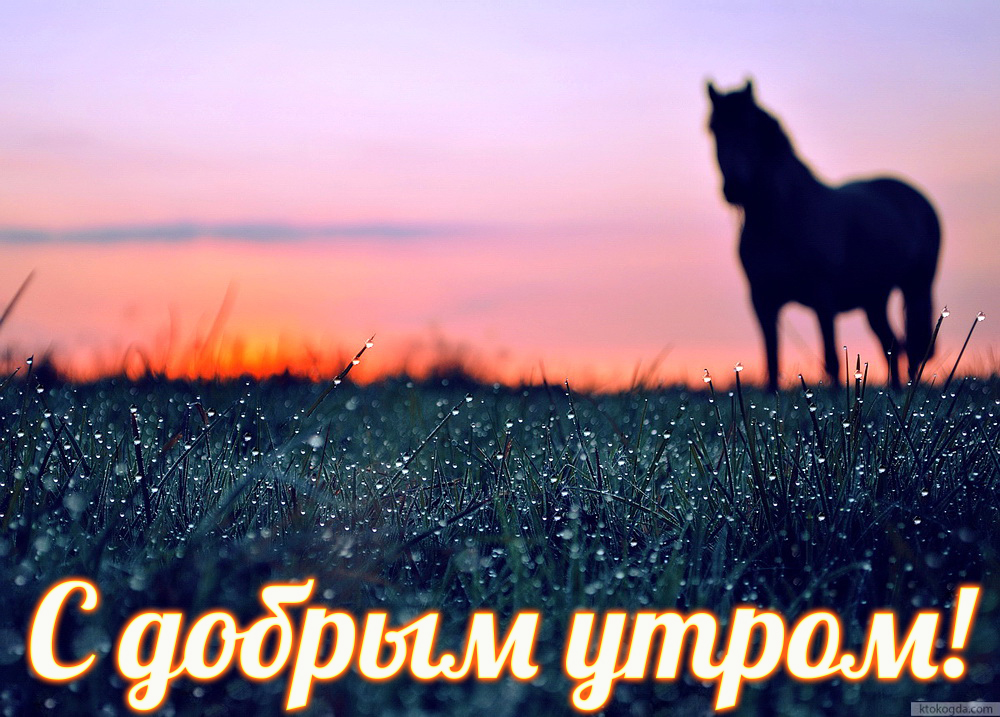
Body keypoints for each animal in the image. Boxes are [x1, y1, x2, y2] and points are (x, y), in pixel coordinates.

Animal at [706, 80, 940, 391]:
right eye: (714, 129)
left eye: (750, 125)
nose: (734, 188)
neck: (783, 218)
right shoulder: (762, 300)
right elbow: (771, 357)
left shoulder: (822, 297)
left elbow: (830, 356)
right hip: (874, 298)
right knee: (891, 343)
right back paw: (897, 389)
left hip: (916, 288)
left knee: (912, 343)